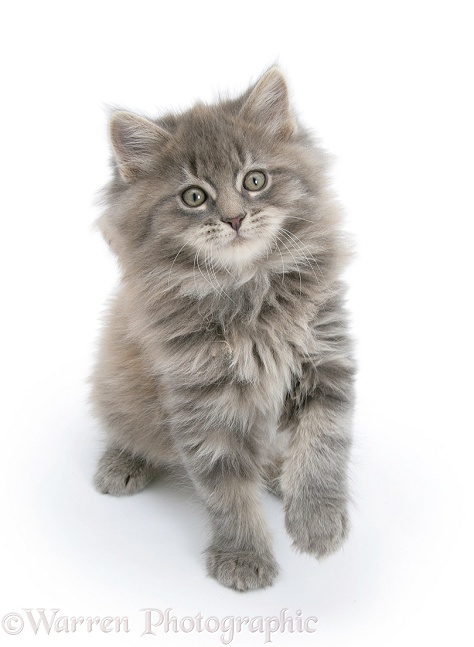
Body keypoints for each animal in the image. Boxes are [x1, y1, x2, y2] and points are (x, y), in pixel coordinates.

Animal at [90, 67, 354, 592]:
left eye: (255, 180)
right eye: (194, 196)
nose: (234, 218)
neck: (247, 289)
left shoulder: (324, 355)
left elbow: (322, 442)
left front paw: (317, 521)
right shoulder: (204, 399)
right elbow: (226, 490)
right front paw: (243, 555)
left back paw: (278, 472)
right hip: (117, 381)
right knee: (123, 425)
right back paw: (122, 462)